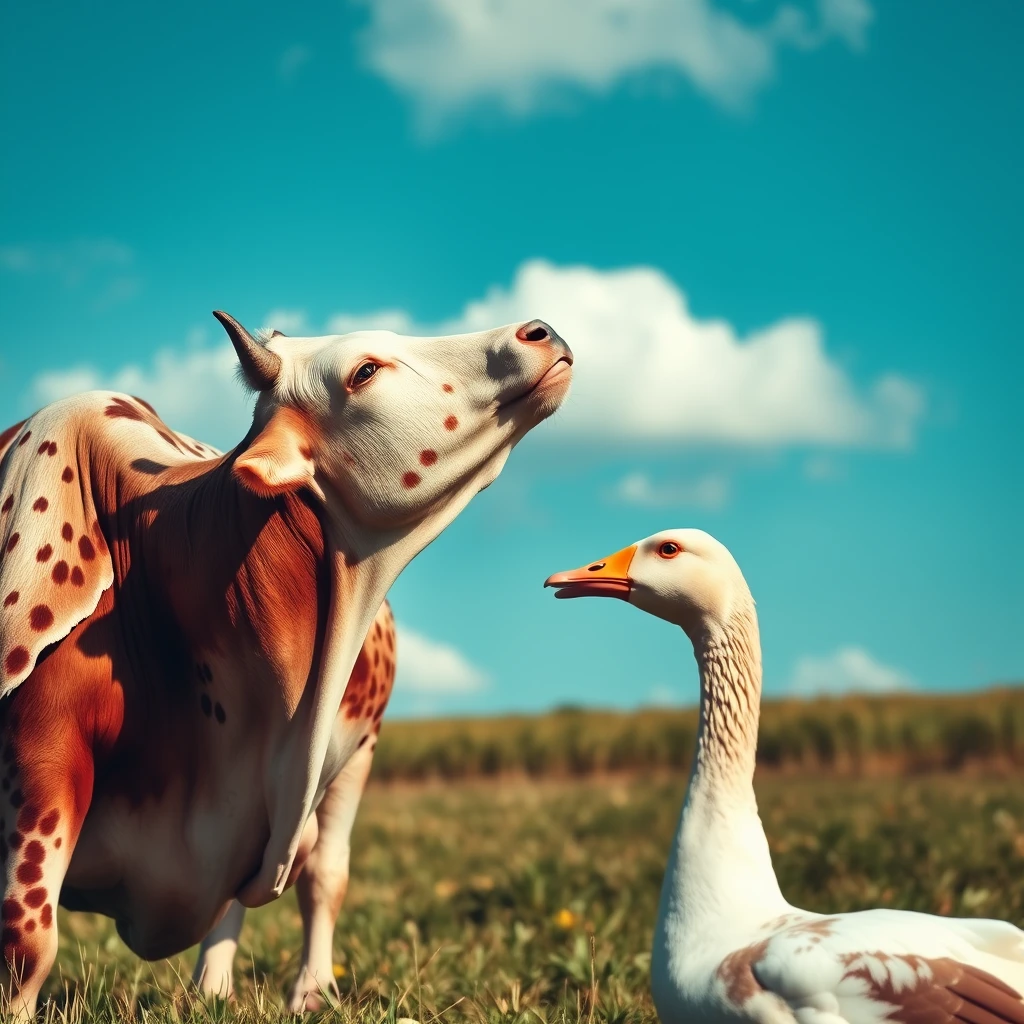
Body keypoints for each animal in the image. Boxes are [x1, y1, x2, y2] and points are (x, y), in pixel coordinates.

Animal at [0, 313, 573, 1015]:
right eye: (364, 370)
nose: (540, 330)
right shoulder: (43, 747)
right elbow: (29, 939)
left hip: (356, 758)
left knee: (316, 878)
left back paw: (282, 991)